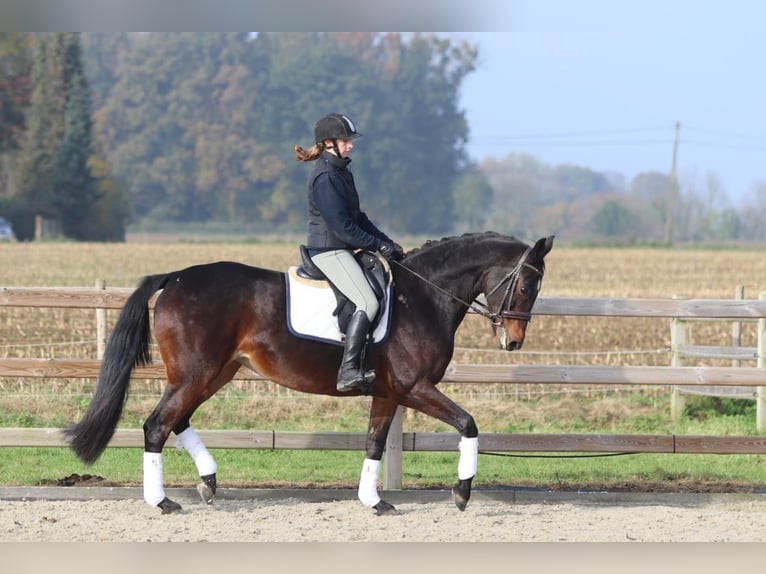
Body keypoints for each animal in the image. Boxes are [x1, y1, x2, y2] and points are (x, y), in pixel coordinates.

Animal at [63, 234, 556, 516]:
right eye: (525, 284)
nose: (513, 341)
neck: (422, 296)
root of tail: (178, 277)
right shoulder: (415, 387)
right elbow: (469, 425)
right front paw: (462, 493)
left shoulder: (389, 393)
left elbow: (375, 443)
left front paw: (374, 501)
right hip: (196, 373)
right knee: (156, 425)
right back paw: (163, 501)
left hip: (213, 373)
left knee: (176, 420)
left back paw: (208, 482)